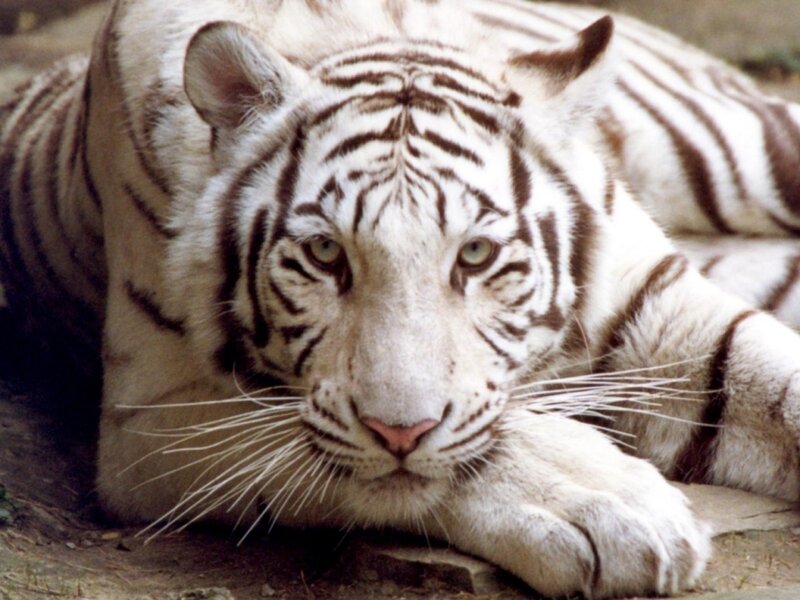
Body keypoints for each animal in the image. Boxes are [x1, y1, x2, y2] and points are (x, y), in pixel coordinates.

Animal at [3, 0, 800, 597]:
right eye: (325, 254)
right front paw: (614, 511)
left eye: (475, 254)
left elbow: (771, 380)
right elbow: (450, 448)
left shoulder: (656, 302)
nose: (398, 432)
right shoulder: (147, 417)